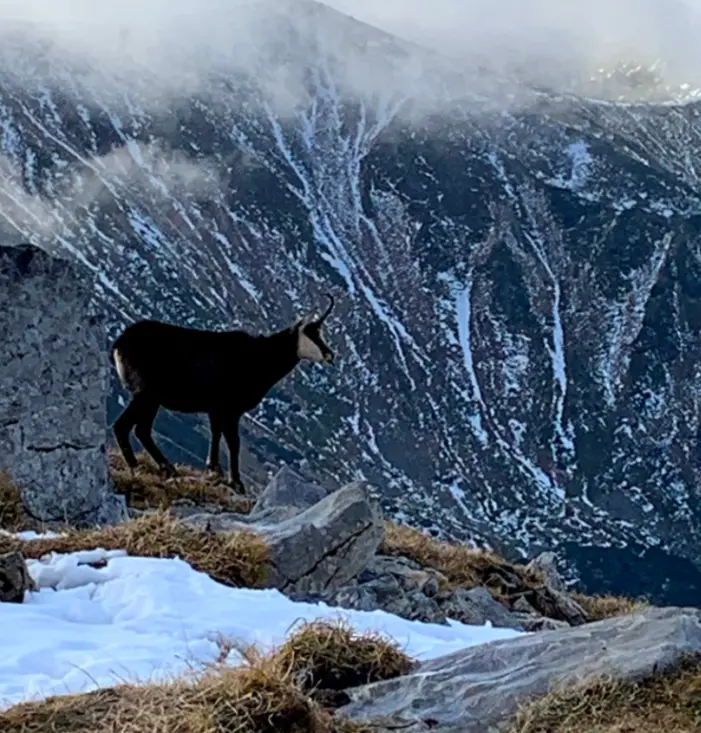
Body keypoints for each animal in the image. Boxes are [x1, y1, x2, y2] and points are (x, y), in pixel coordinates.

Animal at [111, 294, 336, 493]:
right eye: (311, 332)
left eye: (321, 332)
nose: (330, 355)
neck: (260, 357)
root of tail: (120, 343)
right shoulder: (231, 409)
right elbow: (234, 443)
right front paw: (236, 482)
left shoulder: (216, 409)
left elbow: (216, 433)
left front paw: (214, 469)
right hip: (146, 394)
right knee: (126, 426)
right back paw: (141, 467)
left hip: (151, 399)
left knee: (141, 430)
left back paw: (165, 468)